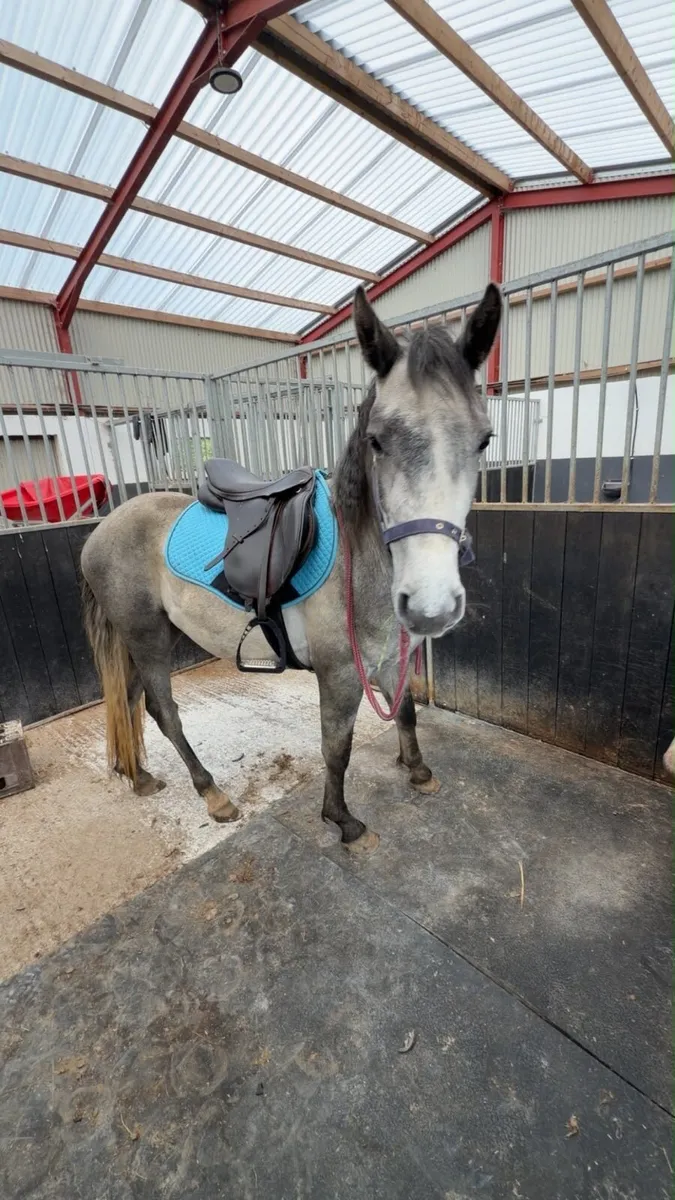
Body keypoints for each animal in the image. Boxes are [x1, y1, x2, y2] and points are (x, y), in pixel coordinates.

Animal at [80, 284, 501, 852]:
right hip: (147, 637)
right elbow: (337, 747)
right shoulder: (340, 675)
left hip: (138, 638)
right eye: (377, 439)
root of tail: (104, 526)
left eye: (483, 440)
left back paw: (140, 776)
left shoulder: (392, 658)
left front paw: (418, 771)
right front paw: (343, 822)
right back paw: (213, 795)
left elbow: (407, 712)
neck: (357, 560)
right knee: (162, 711)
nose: (431, 607)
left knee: (126, 703)